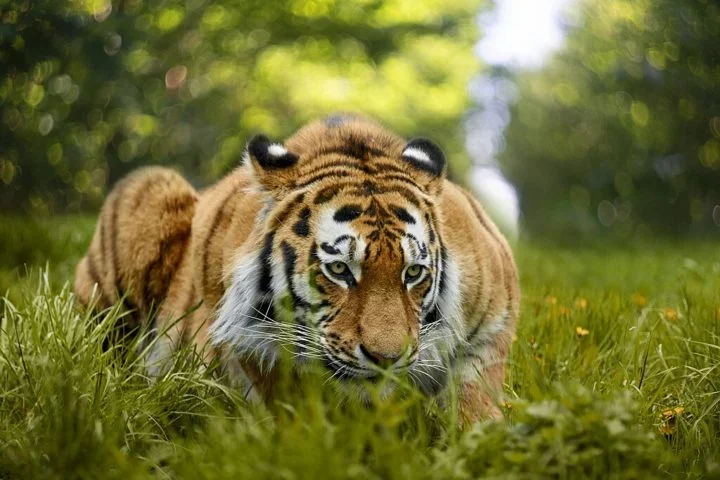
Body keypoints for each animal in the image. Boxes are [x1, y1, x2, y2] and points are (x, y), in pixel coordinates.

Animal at [74, 115, 519, 423]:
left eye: (413, 273)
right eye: (339, 269)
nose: (386, 359)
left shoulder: (491, 320)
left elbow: (474, 403)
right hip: (147, 191)